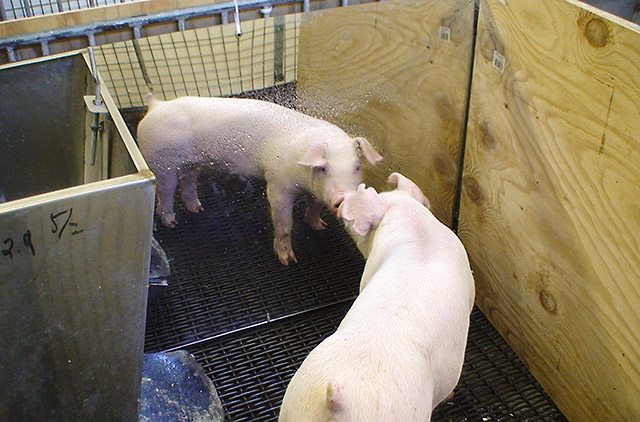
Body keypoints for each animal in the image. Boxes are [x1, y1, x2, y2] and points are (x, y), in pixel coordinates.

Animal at [136, 94, 382, 265]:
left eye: (357, 166)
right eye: (322, 168)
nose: (346, 197)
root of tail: (155, 105)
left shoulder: (315, 193)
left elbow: (314, 207)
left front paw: (320, 226)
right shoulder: (277, 185)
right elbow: (284, 224)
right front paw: (288, 261)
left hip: (191, 163)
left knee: (188, 180)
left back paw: (197, 209)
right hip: (161, 163)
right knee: (166, 191)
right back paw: (172, 222)